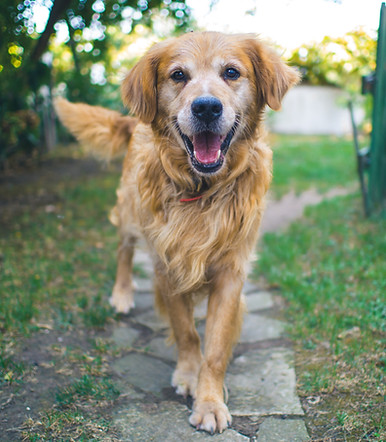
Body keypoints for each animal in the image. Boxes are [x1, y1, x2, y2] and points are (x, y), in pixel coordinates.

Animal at [55, 32, 298, 436]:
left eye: (231, 72)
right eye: (178, 75)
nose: (206, 108)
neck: (202, 190)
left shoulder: (231, 273)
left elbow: (214, 347)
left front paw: (210, 399)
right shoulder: (167, 265)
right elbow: (187, 332)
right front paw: (188, 374)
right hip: (130, 214)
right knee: (123, 251)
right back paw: (122, 294)